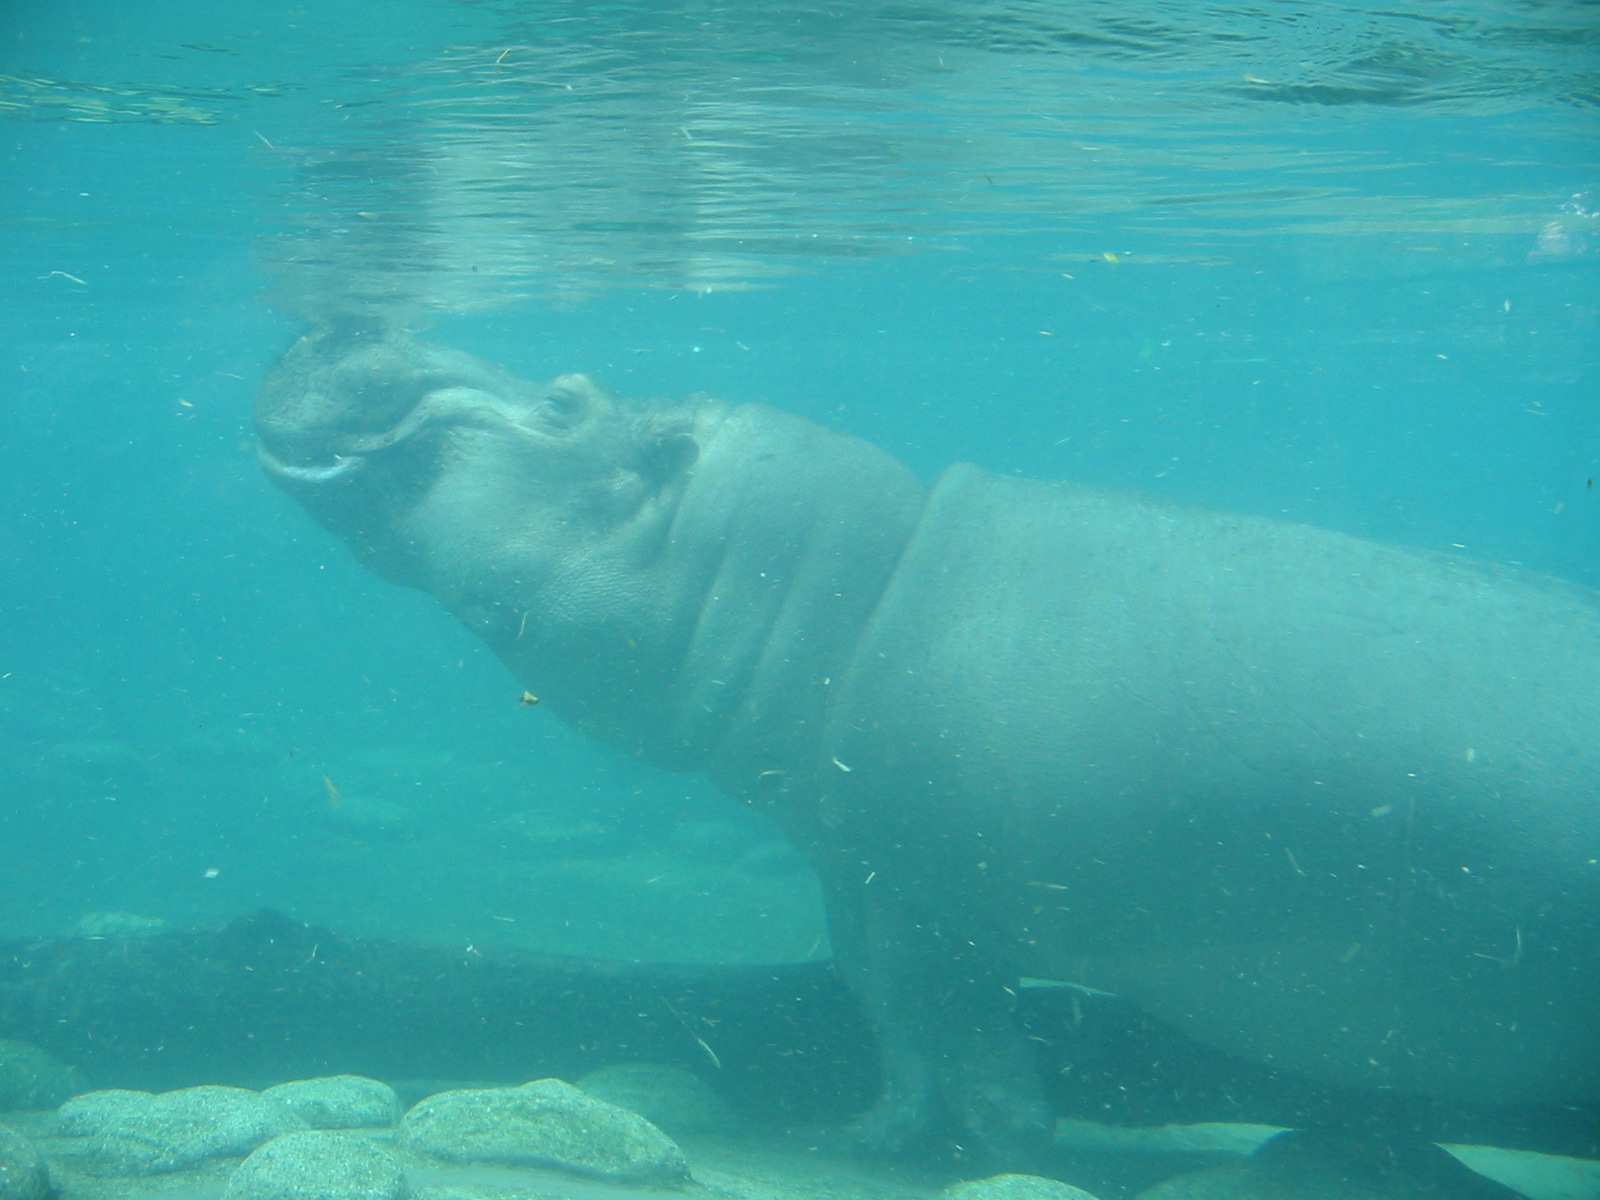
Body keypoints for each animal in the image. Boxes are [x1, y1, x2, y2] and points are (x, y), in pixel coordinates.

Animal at [255, 328, 1600, 1159]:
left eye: (563, 399)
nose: (340, 320)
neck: (838, 586)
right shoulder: (858, 861)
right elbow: (892, 1017)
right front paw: (876, 1135)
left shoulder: (932, 884)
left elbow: (947, 1029)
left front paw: (974, 1145)